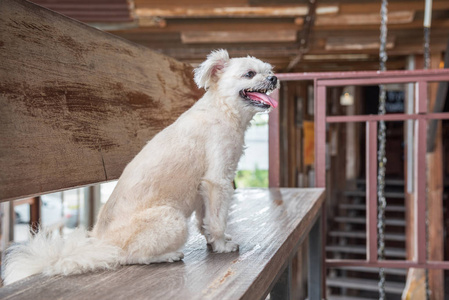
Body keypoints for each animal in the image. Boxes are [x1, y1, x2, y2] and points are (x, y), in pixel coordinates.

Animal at [2, 48, 276, 284]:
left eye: (269, 70)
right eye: (250, 74)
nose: (274, 78)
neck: (223, 110)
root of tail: (101, 244)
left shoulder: (202, 188)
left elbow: (206, 219)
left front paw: (212, 240)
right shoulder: (217, 181)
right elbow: (217, 219)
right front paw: (221, 245)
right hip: (172, 220)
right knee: (130, 257)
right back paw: (168, 255)